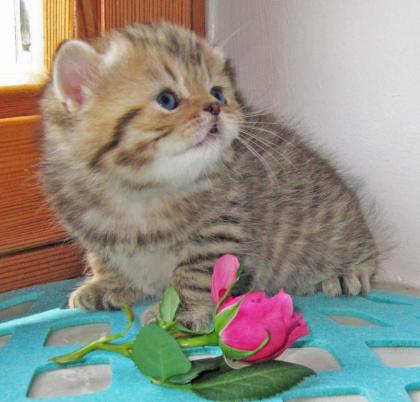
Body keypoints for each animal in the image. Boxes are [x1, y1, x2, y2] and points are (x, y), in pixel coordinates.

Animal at [41, 22, 378, 330]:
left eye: (218, 93)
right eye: (167, 100)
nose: (215, 107)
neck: (140, 191)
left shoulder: (218, 231)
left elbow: (195, 274)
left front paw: (180, 312)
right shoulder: (92, 227)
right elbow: (104, 257)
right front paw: (108, 284)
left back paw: (348, 272)